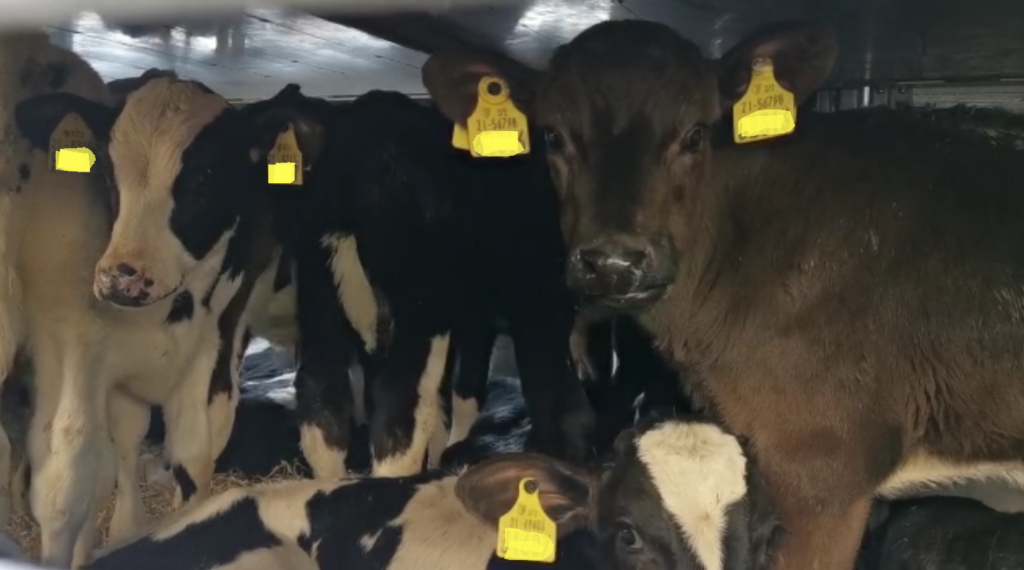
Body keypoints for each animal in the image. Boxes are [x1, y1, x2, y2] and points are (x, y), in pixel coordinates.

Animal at [14, 71, 283, 566]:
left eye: (206, 177)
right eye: (106, 168)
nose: (123, 278)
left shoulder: (214, 349)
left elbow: (194, 462)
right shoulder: (75, 346)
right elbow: (67, 484)